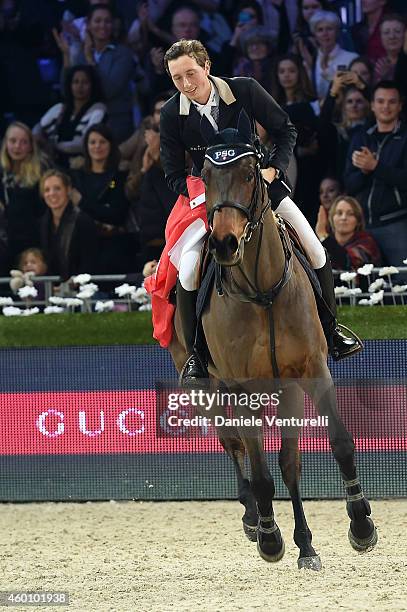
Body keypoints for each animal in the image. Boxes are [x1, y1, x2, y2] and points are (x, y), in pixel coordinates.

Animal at [167, 110, 378, 568]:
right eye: (204, 176)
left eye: (250, 174)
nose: (224, 243)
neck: (261, 290)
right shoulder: (243, 387)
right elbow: (261, 472)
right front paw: (269, 538)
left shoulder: (312, 370)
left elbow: (338, 444)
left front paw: (361, 526)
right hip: (206, 385)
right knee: (233, 445)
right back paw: (254, 520)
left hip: (285, 387)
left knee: (288, 460)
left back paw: (306, 545)